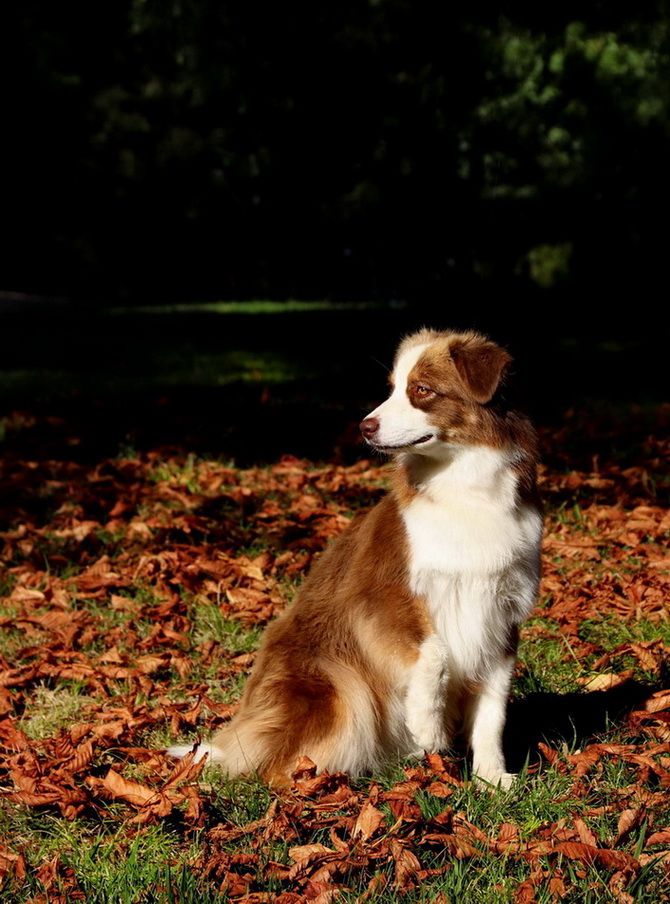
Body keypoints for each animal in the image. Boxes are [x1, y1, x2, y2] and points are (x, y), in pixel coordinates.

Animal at [169, 328, 544, 788]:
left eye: (421, 390)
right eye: (392, 388)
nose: (365, 426)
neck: (464, 485)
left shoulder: (502, 611)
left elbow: (493, 711)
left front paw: (493, 779)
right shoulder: (380, 596)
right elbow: (434, 654)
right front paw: (428, 726)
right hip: (333, 682)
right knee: (274, 764)